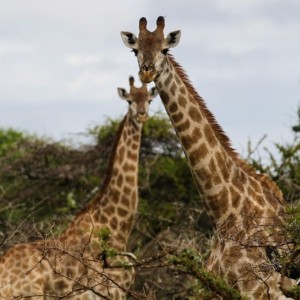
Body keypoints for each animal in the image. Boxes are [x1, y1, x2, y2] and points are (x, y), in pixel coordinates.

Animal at [0, 76, 158, 298]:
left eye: (149, 100)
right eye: (130, 100)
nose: (142, 115)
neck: (117, 227)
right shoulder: (105, 290)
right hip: (29, 295)